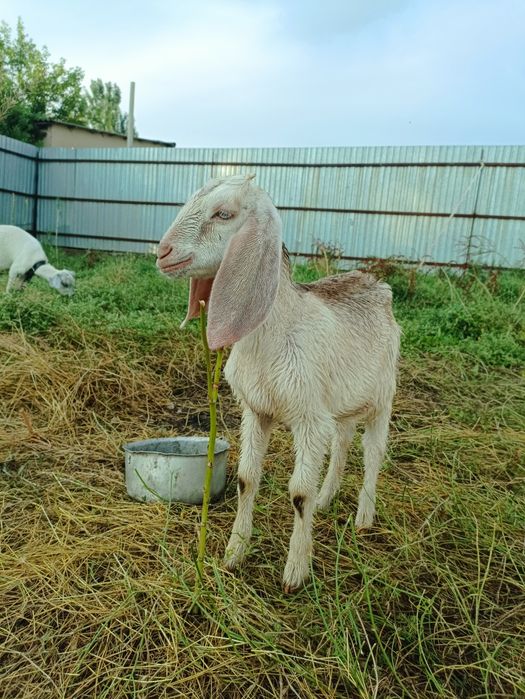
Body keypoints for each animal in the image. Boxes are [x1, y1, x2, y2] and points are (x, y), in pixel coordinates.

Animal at [157, 175, 400, 592]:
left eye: (223, 214)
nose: (162, 252)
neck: (274, 333)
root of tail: (376, 283)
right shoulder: (257, 410)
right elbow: (245, 479)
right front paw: (233, 554)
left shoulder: (308, 418)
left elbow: (299, 493)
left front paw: (295, 573)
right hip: (341, 400)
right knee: (343, 441)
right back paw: (327, 497)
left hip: (382, 396)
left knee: (373, 453)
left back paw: (363, 518)